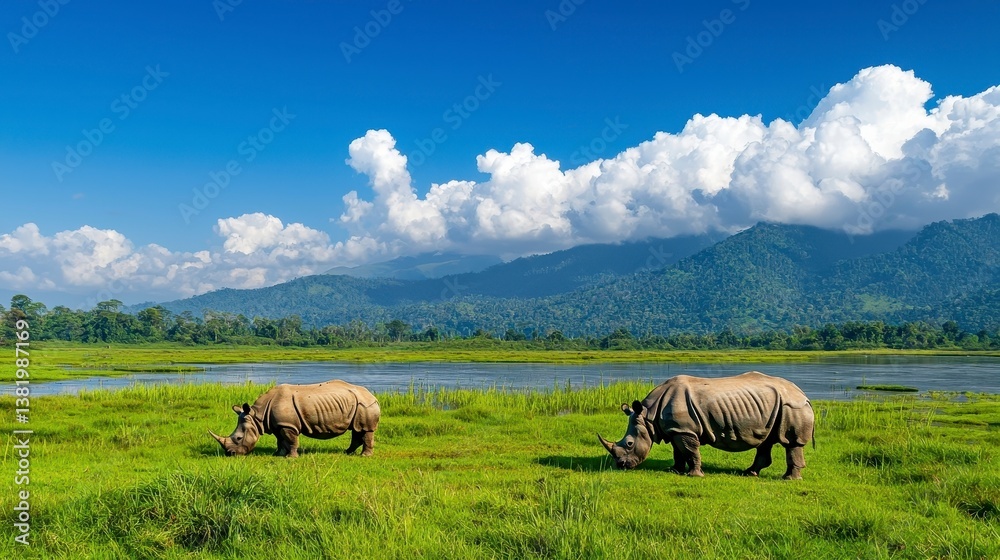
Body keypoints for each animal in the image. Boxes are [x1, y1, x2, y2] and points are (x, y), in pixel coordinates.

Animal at [209, 380, 380, 458]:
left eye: (238, 438)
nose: (230, 454)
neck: (258, 416)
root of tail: (373, 395)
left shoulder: (288, 425)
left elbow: (291, 440)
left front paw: (291, 457)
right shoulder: (278, 424)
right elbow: (280, 440)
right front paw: (278, 454)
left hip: (365, 404)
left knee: (365, 430)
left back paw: (365, 456)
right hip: (359, 405)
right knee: (357, 429)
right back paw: (347, 452)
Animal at [598, 372, 814, 479]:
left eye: (629, 444)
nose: (621, 466)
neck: (648, 415)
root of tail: (804, 394)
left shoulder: (685, 430)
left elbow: (690, 451)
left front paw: (695, 475)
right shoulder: (677, 429)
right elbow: (678, 452)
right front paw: (674, 470)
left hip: (792, 406)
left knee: (791, 443)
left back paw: (789, 479)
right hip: (775, 406)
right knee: (766, 441)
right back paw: (749, 473)